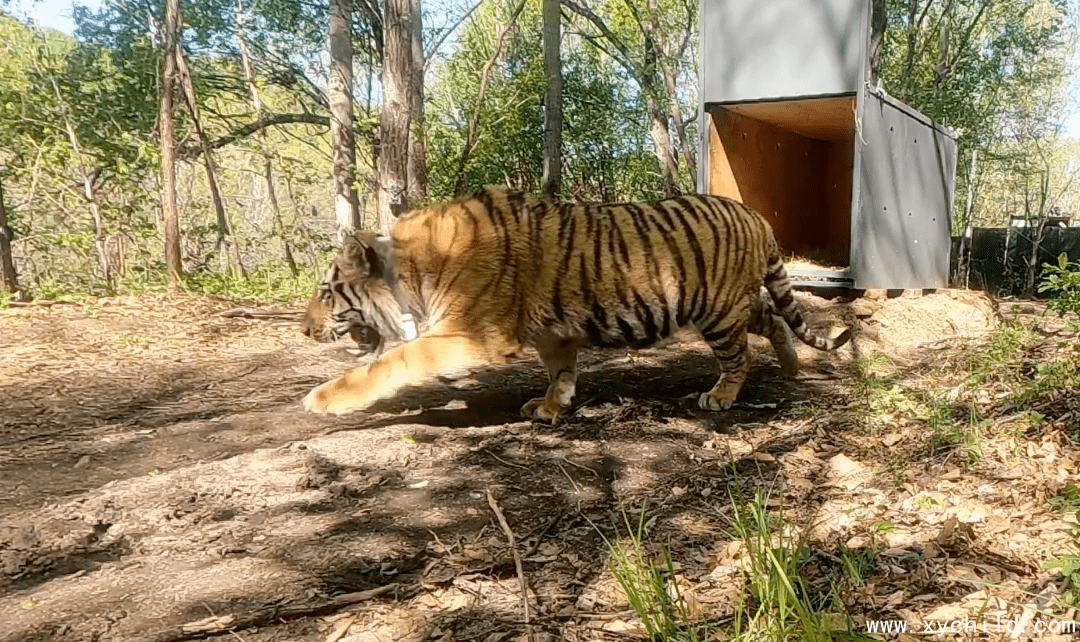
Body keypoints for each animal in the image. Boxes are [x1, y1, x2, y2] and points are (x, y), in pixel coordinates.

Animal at [302, 185, 851, 415]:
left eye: (326, 293)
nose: (304, 330)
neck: (409, 277)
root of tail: (755, 214)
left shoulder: (469, 333)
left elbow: (390, 363)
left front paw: (323, 400)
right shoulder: (552, 333)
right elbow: (560, 371)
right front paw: (552, 405)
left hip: (716, 312)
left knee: (739, 355)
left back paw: (721, 395)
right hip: (727, 303)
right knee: (773, 319)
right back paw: (791, 367)